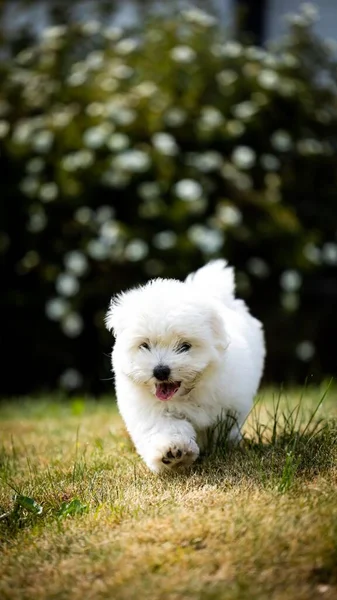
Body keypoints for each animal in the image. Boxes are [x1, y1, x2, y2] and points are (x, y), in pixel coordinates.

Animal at [105, 262, 266, 474]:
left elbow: (225, 426)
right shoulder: (149, 409)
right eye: (144, 345)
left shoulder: (231, 403)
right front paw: (173, 452)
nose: (160, 371)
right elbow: (163, 428)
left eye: (185, 346)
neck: (187, 394)